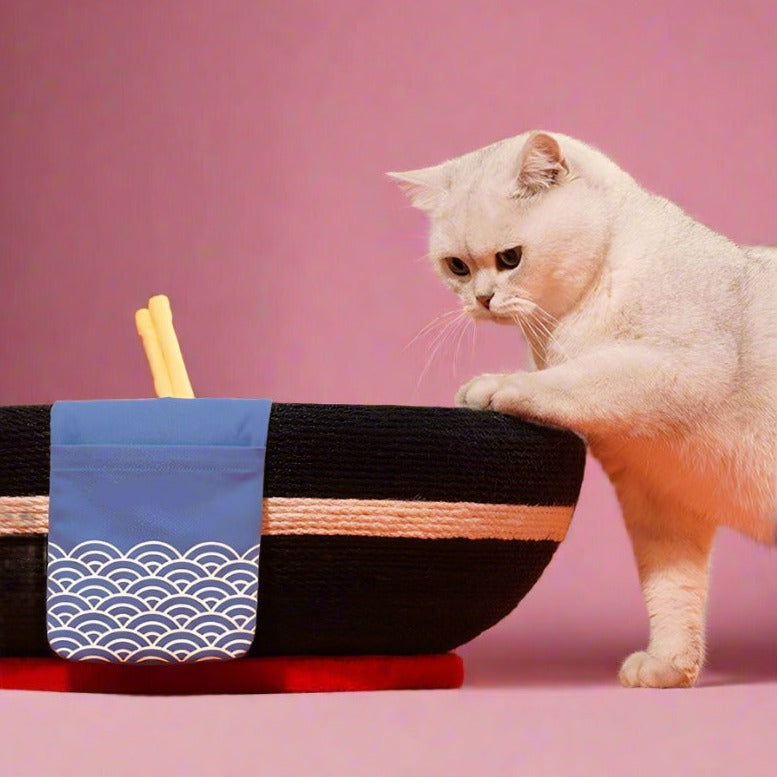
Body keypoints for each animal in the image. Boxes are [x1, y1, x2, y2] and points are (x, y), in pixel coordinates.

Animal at [388, 132, 776, 684]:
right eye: (457, 267)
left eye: (510, 258)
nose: (481, 299)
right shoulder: (659, 500)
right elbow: (671, 590)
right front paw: (669, 665)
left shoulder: (678, 365)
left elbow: (575, 379)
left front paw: (497, 385)